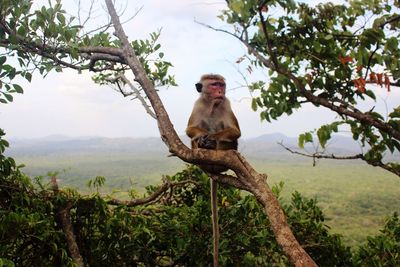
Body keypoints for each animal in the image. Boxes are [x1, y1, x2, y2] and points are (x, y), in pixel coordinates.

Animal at [185, 74, 239, 267]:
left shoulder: (226, 103)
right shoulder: (198, 104)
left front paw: (211, 139)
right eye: (215, 85)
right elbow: (190, 130)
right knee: (194, 138)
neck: (211, 105)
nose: (221, 91)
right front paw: (203, 138)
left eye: (222, 85)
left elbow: (235, 132)